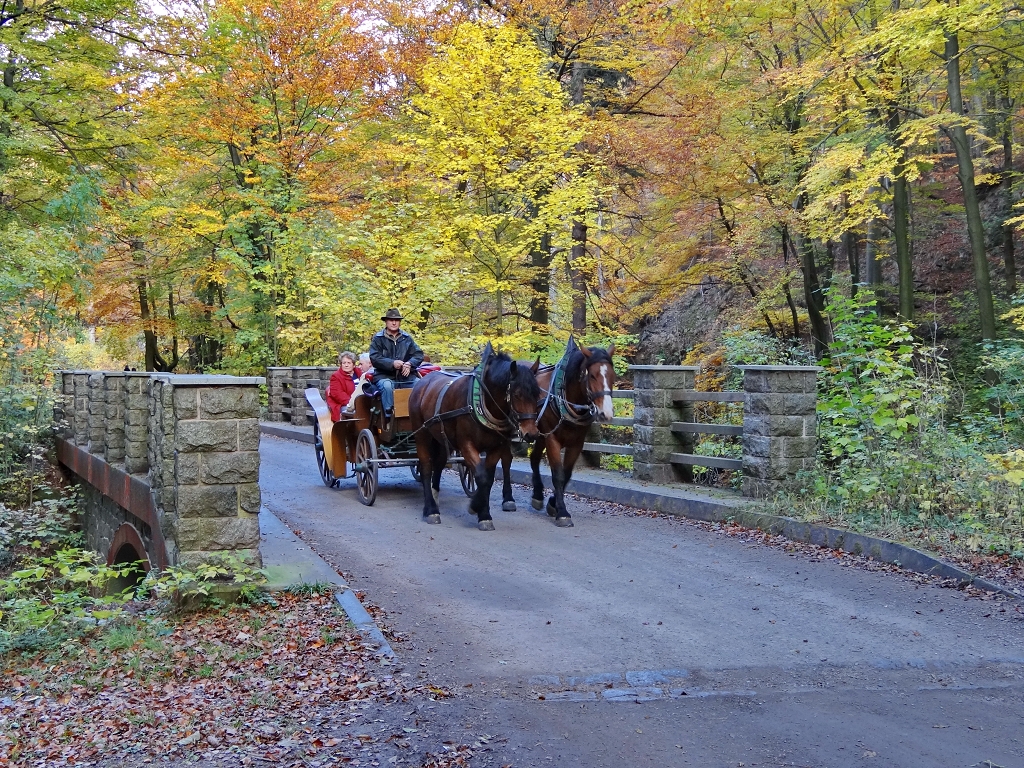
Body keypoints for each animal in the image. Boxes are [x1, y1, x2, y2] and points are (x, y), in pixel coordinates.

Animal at [409, 346, 544, 532]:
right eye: (517, 394)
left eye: (537, 393)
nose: (531, 433)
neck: (483, 402)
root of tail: (422, 383)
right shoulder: (466, 445)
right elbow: (481, 476)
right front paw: (475, 507)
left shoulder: (496, 447)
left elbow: (488, 479)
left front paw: (483, 513)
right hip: (422, 434)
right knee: (426, 468)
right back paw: (430, 509)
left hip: (441, 438)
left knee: (439, 463)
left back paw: (435, 495)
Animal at [524, 342, 610, 528]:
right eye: (592, 376)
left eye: (612, 375)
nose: (606, 412)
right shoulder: (552, 439)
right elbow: (558, 475)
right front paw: (562, 512)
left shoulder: (576, 443)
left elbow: (567, 474)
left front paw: (553, 504)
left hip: (539, 434)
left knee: (534, 458)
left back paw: (538, 495)